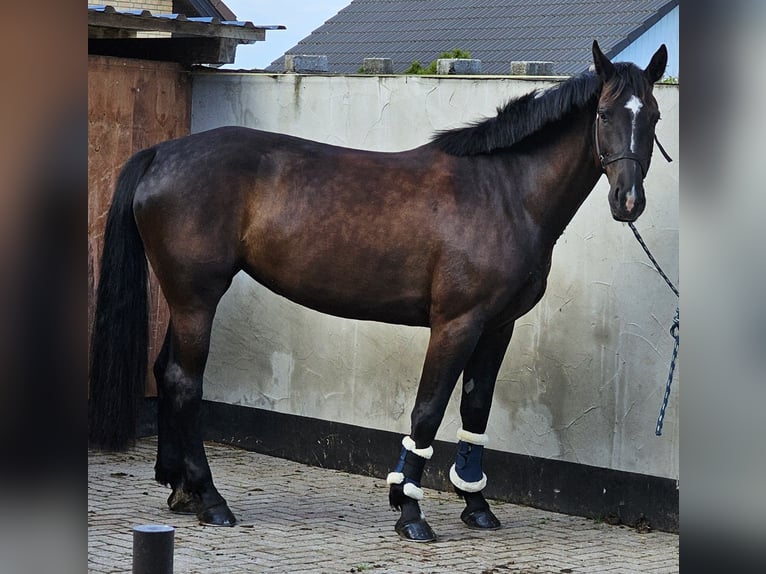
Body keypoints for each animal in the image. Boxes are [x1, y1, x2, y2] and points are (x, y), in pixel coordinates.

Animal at [89, 41, 668, 542]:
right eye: (604, 115)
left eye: (654, 117)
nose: (629, 201)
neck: (503, 192)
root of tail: (161, 153)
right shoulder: (456, 323)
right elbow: (428, 411)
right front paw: (409, 511)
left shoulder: (498, 327)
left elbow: (475, 411)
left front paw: (476, 505)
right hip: (197, 297)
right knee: (185, 382)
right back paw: (211, 500)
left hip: (185, 298)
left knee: (165, 371)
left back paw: (180, 489)